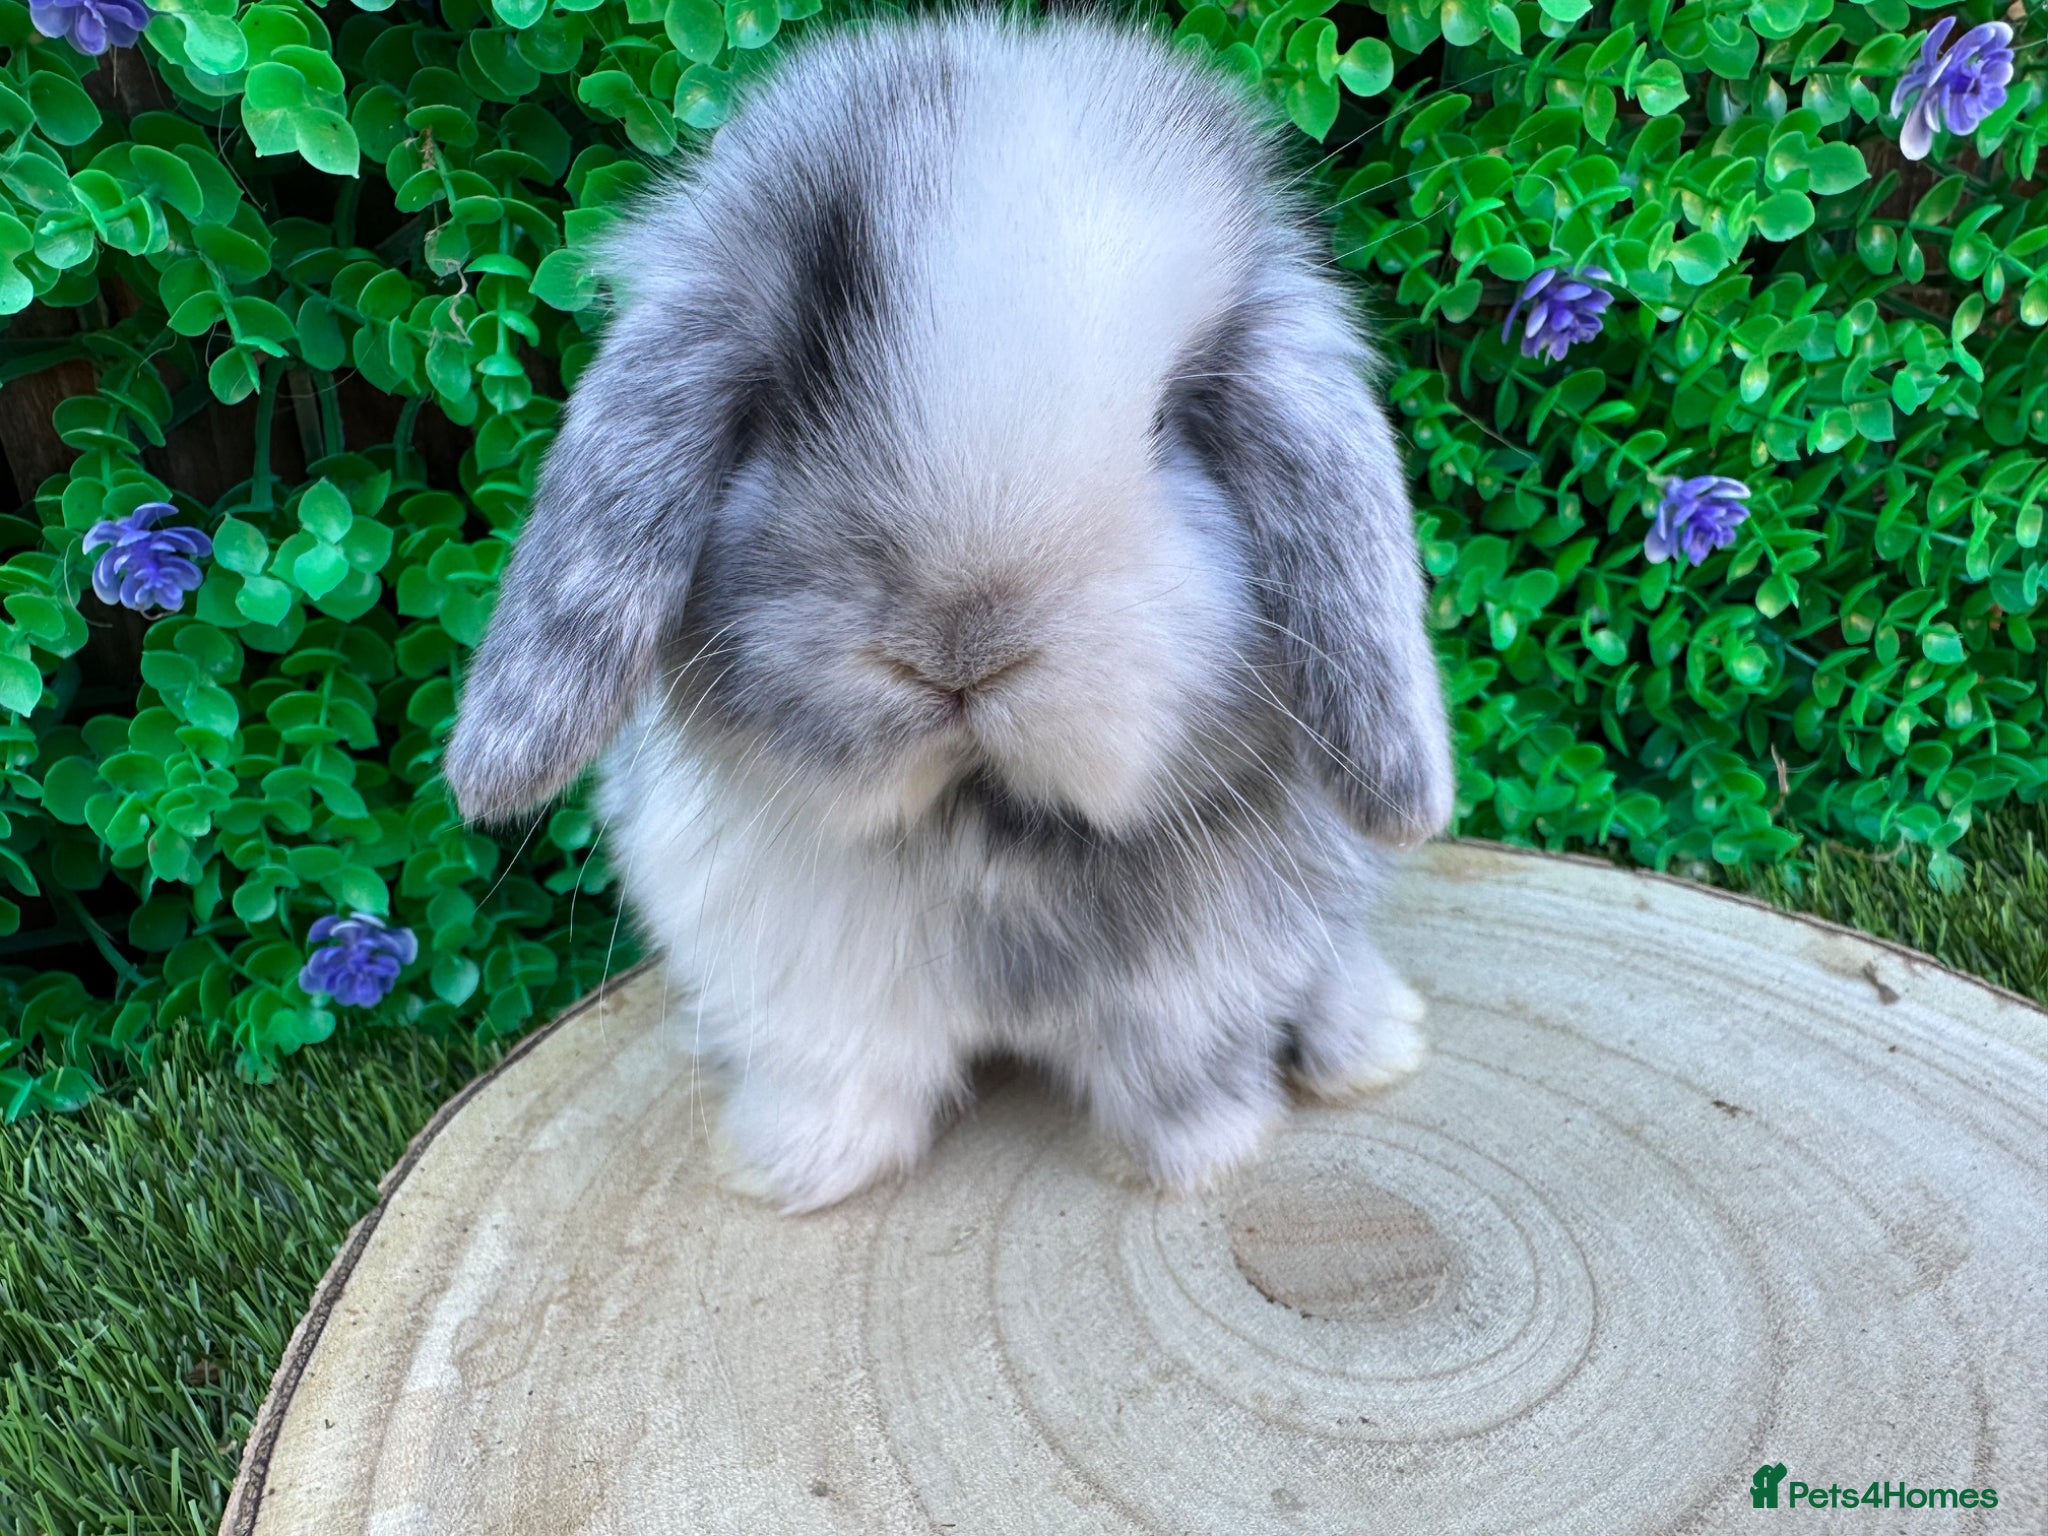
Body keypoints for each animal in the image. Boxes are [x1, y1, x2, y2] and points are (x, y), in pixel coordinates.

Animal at [444, 10, 1455, 1213]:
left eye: (1172, 420)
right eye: (785, 397)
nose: (961, 651)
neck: (982, 828)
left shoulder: (1192, 994)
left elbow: (1180, 1074)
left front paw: (1200, 1158)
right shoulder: (810, 991)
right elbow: (842, 1075)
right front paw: (792, 1170)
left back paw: (1373, 1044)